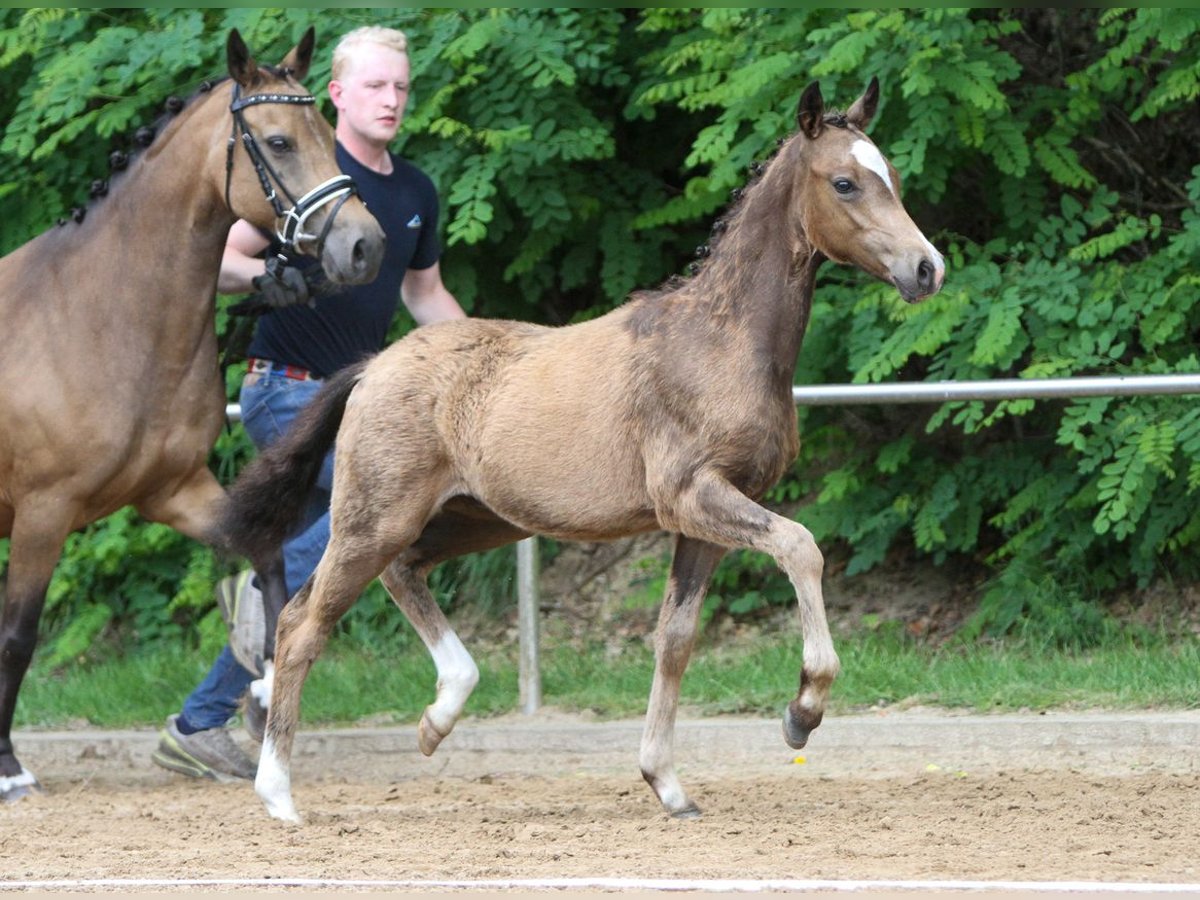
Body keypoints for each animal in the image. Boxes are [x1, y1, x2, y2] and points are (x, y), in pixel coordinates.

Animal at [0, 28, 384, 801]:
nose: (364, 245)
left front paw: (263, 688)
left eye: (329, 136)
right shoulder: (43, 511)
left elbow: (267, 561)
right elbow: (19, 635)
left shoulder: (173, 489)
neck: (97, 316)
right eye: (277, 141)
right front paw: (7, 766)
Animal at [220, 77, 940, 825]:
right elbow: (802, 547)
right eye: (845, 182)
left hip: (473, 520)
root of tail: (371, 366)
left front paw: (666, 783)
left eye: (892, 175)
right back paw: (279, 793)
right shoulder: (694, 496)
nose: (927, 268)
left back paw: (437, 717)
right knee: (302, 623)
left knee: (401, 573)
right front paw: (803, 711)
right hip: (374, 517)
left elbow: (675, 638)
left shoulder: (704, 522)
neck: (720, 340)